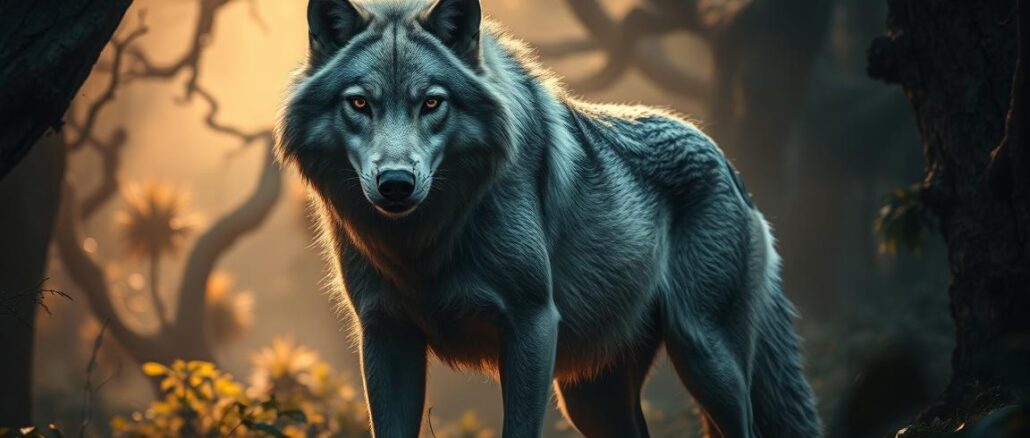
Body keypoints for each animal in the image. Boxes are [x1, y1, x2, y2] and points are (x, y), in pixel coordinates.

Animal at [277, 0, 821, 436]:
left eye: (432, 102)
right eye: (359, 103)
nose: (395, 183)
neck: (422, 244)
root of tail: (727, 161)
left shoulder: (532, 324)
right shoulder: (386, 335)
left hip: (705, 359)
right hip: (591, 398)